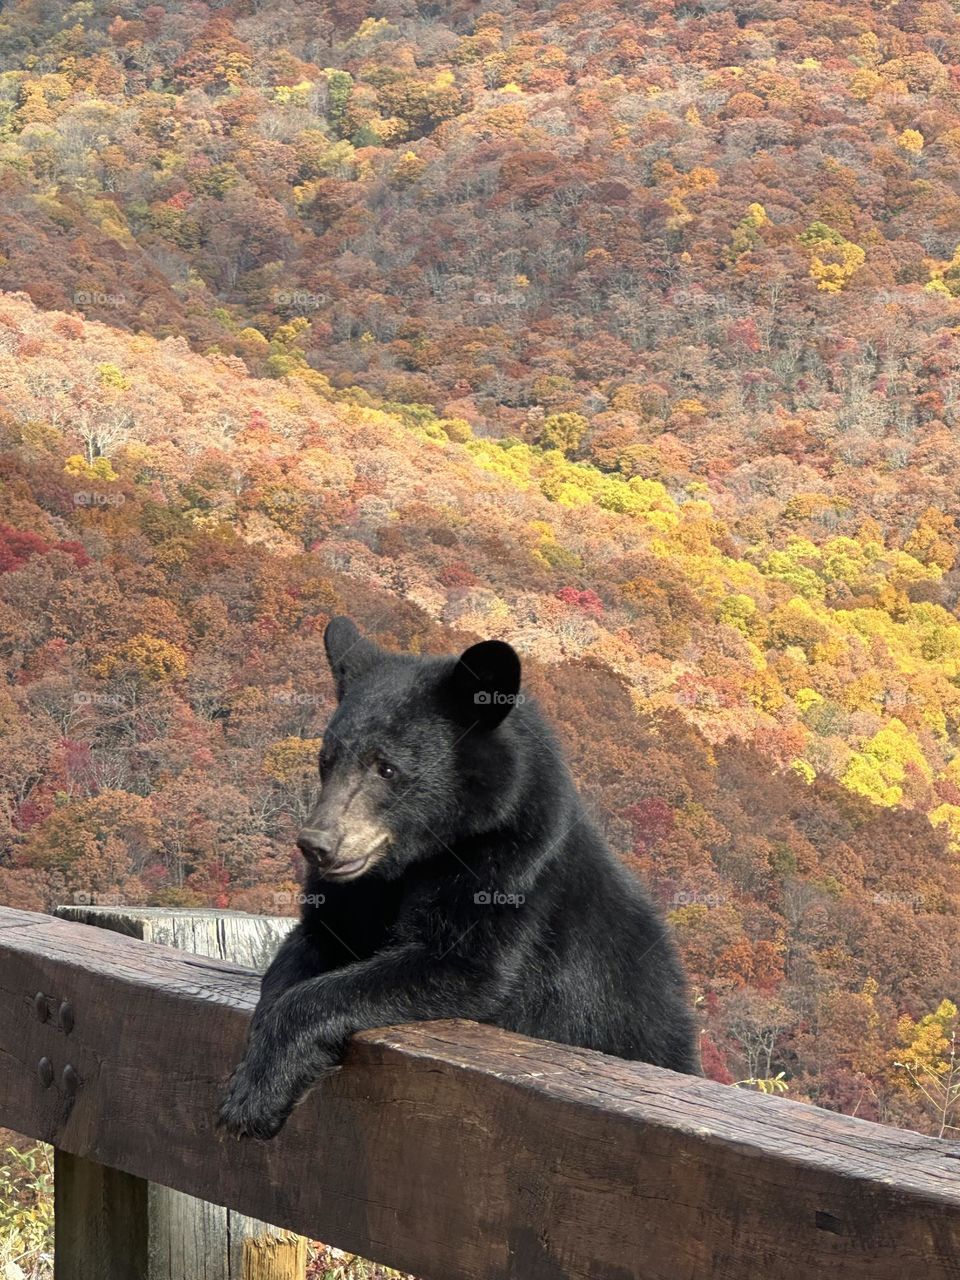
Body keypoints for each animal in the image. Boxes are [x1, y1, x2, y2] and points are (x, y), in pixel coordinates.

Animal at [218, 616, 697, 1138]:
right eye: (325, 760)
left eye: (387, 768)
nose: (317, 844)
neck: (420, 858)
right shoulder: (354, 895)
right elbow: (307, 946)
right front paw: (252, 1059)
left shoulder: (509, 872)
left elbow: (460, 963)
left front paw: (254, 1098)